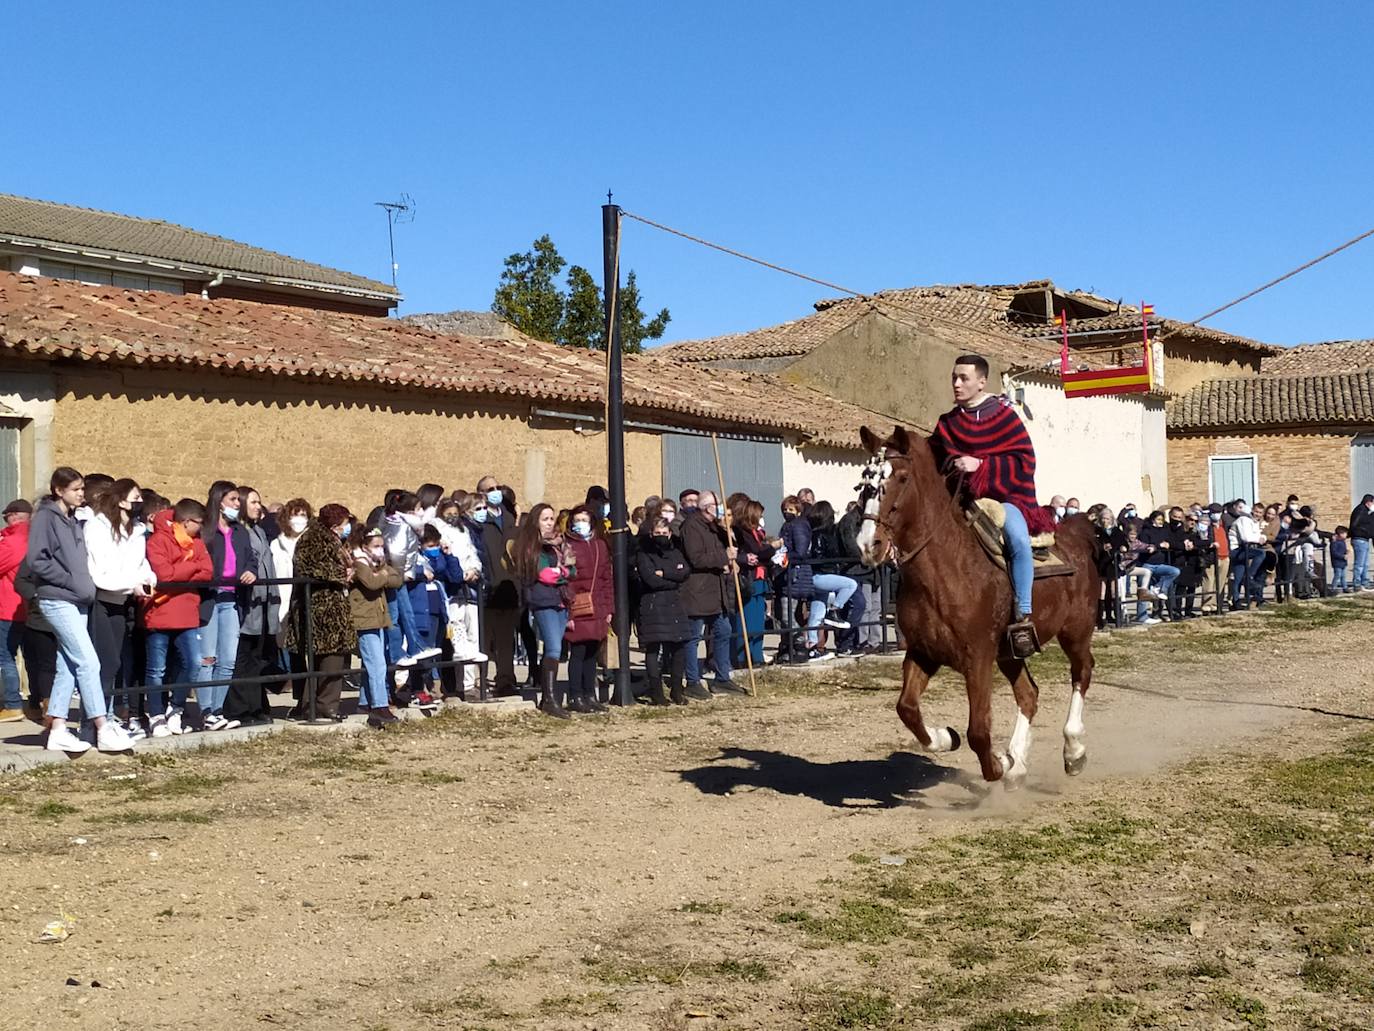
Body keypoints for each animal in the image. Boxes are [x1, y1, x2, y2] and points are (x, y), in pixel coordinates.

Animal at [851, 423, 1099, 786]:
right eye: (863, 481)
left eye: (901, 477)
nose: (869, 544)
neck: (947, 567)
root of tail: (1078, 535)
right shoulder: (924, 652)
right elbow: (907, 709)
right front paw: (947, 738)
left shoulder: (978, 657)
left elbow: (979, 732)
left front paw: (1001, 763)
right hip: (1010, 652)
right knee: (1029, 695)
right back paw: (1019, 762)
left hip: (1075, 632)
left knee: (1081, 673)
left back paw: (1073, 750)